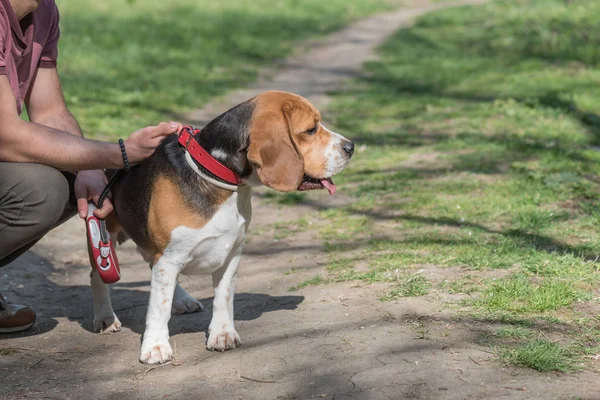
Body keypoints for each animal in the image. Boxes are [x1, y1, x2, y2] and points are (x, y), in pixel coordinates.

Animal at [91, 91, 354, 366]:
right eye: (310, 129)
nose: (351, 147)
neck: (215, 174)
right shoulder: (169, 258)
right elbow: (159, 307)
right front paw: (155, 347)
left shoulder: (231, 254)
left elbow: (224, 298)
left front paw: (222, 334)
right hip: (105, 237)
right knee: (98, 277)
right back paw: (106, 318)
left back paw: (183, 300)